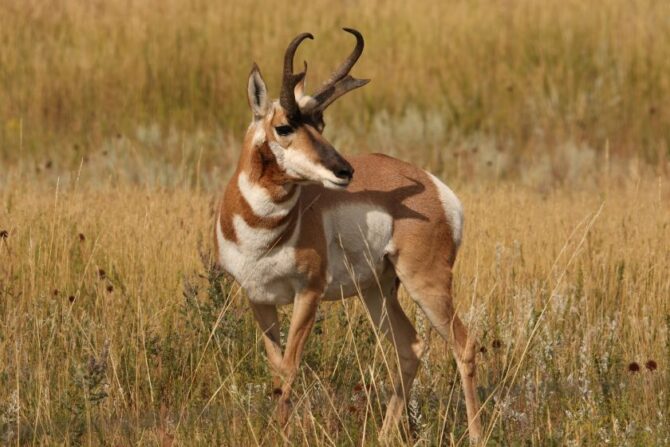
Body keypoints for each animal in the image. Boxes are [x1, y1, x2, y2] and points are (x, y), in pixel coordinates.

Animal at [215, 29, 482, 442]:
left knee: (464, 344)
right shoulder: (258, 298)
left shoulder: (308, 294)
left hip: (426, 283)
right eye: (284, 127)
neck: (262, 230)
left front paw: (281, 434)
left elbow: (290, 365)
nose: (344, 171)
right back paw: (385, 436)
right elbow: (276, 367)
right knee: (410, 347)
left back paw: (476, 435)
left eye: (320, 124)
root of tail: (434, 187)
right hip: (378, 291)